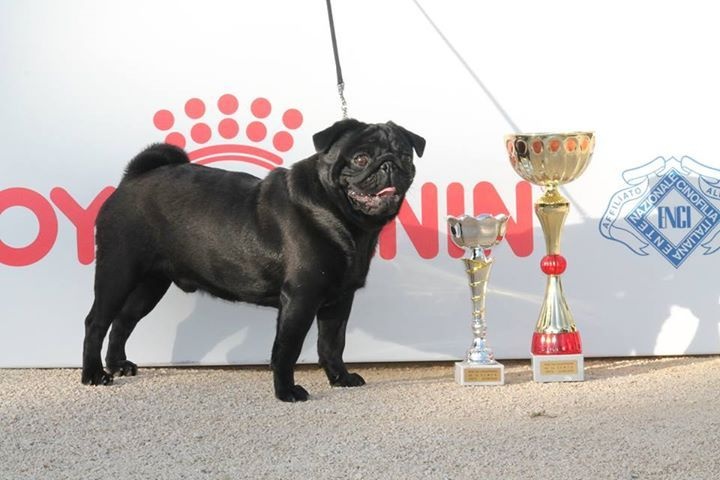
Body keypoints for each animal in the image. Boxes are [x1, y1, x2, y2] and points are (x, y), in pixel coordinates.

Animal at [81, 118, 424, 400]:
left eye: (406, 157)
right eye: (361, 159)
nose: (389, 165)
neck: (339, 214)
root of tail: (132, 179)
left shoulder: (339, 300)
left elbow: (332, 344)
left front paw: (339, 378)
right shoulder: (300, 298)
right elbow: (287, 349)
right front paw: (286, 392)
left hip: (151, 285)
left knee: (124, 320)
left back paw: (118, 365)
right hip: (118, 271)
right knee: (96, 322)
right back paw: (94, 374)